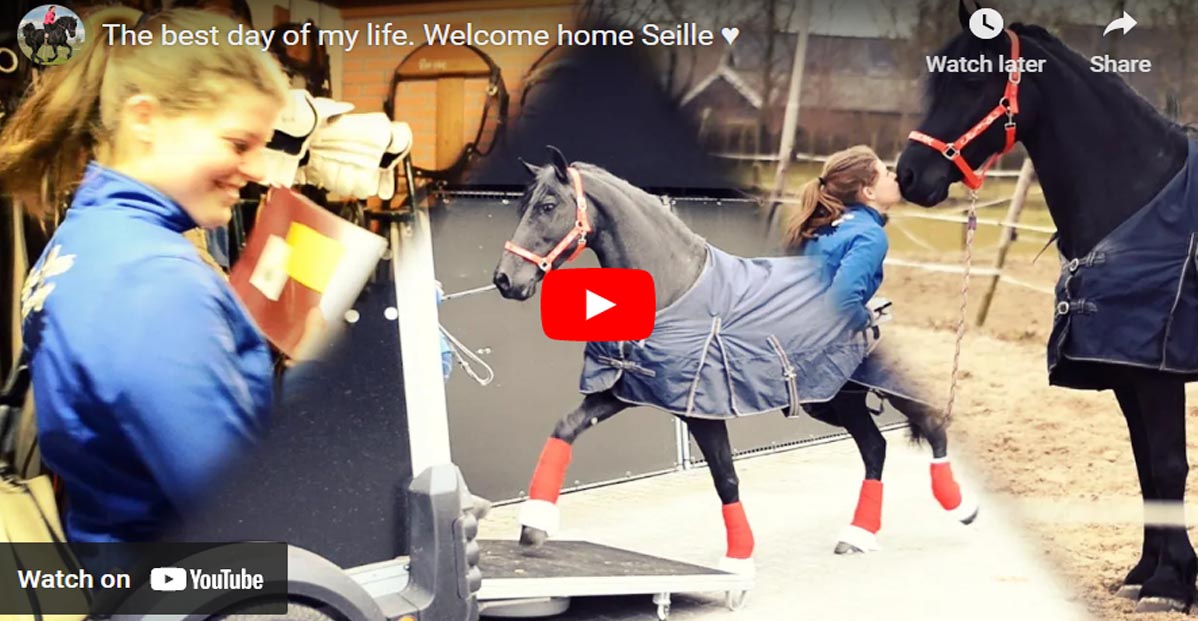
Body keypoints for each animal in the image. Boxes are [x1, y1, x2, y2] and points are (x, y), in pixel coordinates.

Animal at [491, 146, 977, 575]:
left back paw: (963, 508)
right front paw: (534, 528)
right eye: (522, 206)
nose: (504, 279)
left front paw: (738, 559)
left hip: (884, 392)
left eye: (548, 205)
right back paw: (858, 534)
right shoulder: (627, 390)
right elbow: (566, 428)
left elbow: (725, 478)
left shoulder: (702, 411)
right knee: (874, 447)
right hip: (834, 401)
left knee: (932, 428)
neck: (677, 287)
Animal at [900, 0, 1198, 613]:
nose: (909, 176)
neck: (1138, 198)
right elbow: (1145, 469)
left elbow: (1167, 465)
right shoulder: (1125, 374)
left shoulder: (1157, 373)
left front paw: (1168, 586)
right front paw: (1145, 572)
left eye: (975, 81)